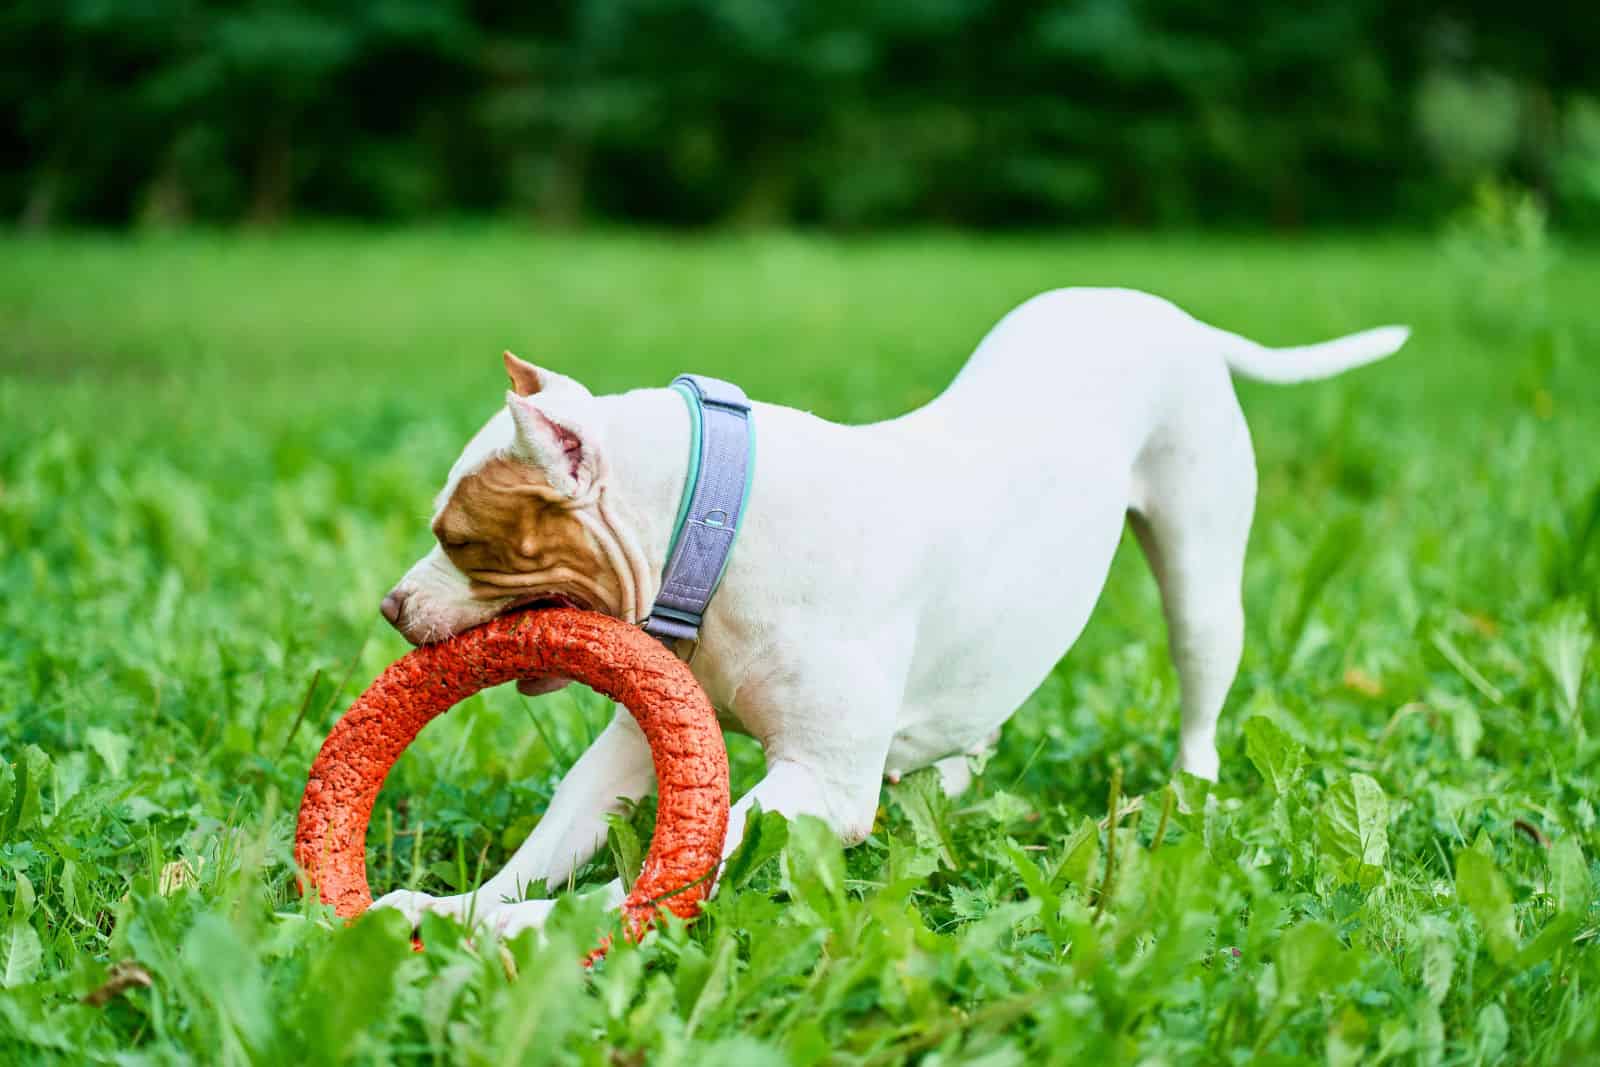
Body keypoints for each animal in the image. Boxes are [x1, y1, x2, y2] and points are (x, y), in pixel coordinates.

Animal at [371, 289, 1401, 934]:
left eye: (460, 538)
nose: (389, 604)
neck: (719, 530)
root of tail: (1165, 311)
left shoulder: (819, 785)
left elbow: (687, 858)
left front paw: (529, 928)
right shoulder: (638, 739)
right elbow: (557, 831)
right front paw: (456, 908)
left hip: (1199, 574)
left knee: (1198, 678)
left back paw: (1189, 784)